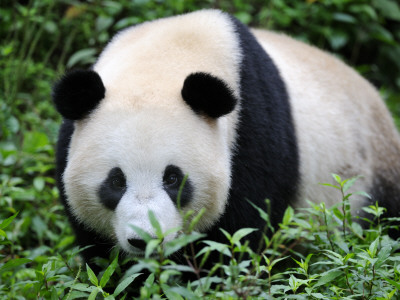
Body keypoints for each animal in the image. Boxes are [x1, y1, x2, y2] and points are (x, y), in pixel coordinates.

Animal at [52, 8, 400, 268]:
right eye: (116, 181)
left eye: (173, 178)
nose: (146, 240)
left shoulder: (252, 133)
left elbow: (239, 234)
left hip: (373, 174)